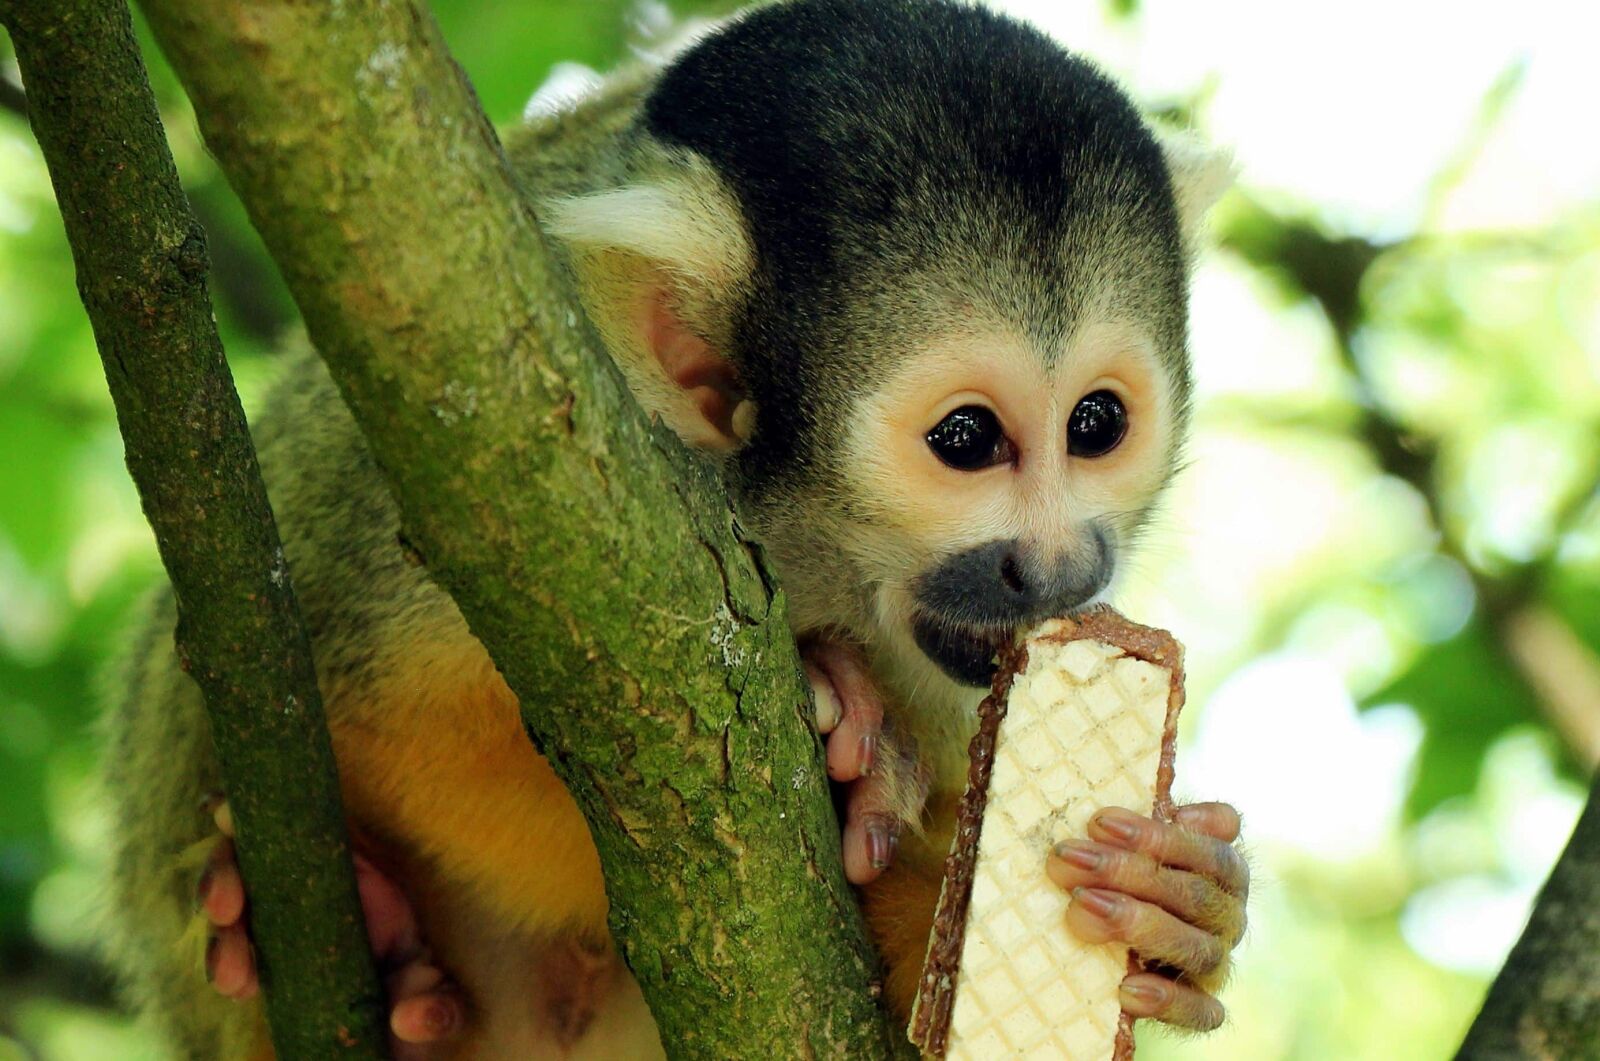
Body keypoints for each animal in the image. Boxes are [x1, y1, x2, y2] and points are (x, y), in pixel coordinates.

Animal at [99, 1, 1247, 1057]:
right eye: (965, 439)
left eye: (1094, 424)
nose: (1057, 567)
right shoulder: (476, 466)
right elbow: (409, 729)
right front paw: (849, 733)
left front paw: (1173, 907)